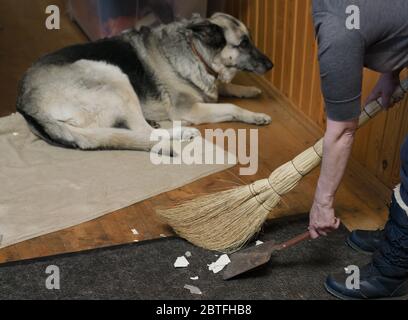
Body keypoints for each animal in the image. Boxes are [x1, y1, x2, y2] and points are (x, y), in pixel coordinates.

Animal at [15, 13, 272, 156]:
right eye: (244, 43)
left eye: (251, 40)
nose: (271, 65)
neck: (195, 50)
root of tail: (27, 106)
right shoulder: (189, 109)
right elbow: (231, 107)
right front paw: (255, 116)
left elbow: (227, 88)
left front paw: (249, 90)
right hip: (113, 75)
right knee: (143, 131)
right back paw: (182, 132)